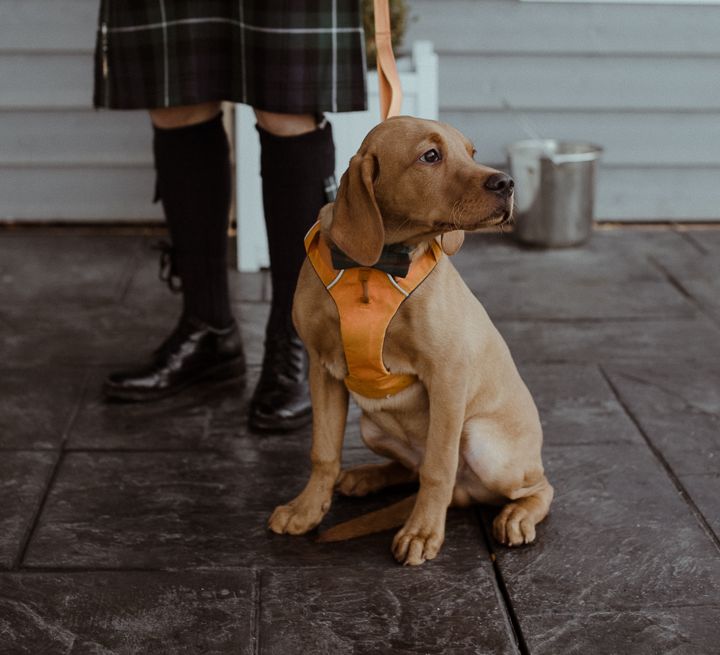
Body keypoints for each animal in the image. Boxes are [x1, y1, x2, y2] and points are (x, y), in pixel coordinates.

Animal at [268, 116, 556, 564]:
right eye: (431, 156)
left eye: (471, 153)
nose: (507, 182)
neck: (375, 266)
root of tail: (467, 493)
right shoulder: (322, 368)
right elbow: (323, 452)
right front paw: (306, 509)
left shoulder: (448, 377)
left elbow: (438, 466)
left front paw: (422, 533)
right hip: (372, 427)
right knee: (411, 470)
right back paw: (366, 477)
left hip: (483, 443)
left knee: (537, 486)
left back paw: (516, 517)